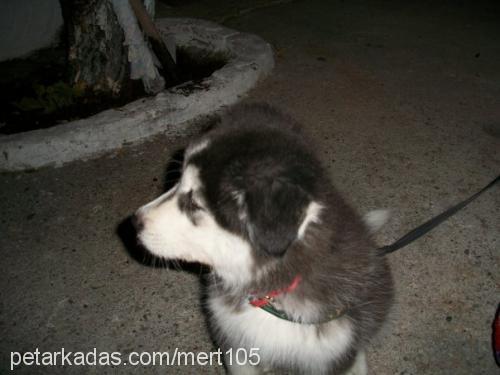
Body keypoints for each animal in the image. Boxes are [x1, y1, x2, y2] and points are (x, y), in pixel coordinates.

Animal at [135, 103, 392, 375]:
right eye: (178, 182)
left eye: (194, 203)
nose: (134, 222)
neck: (270, 293)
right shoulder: (236, 348)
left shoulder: (336, 353)